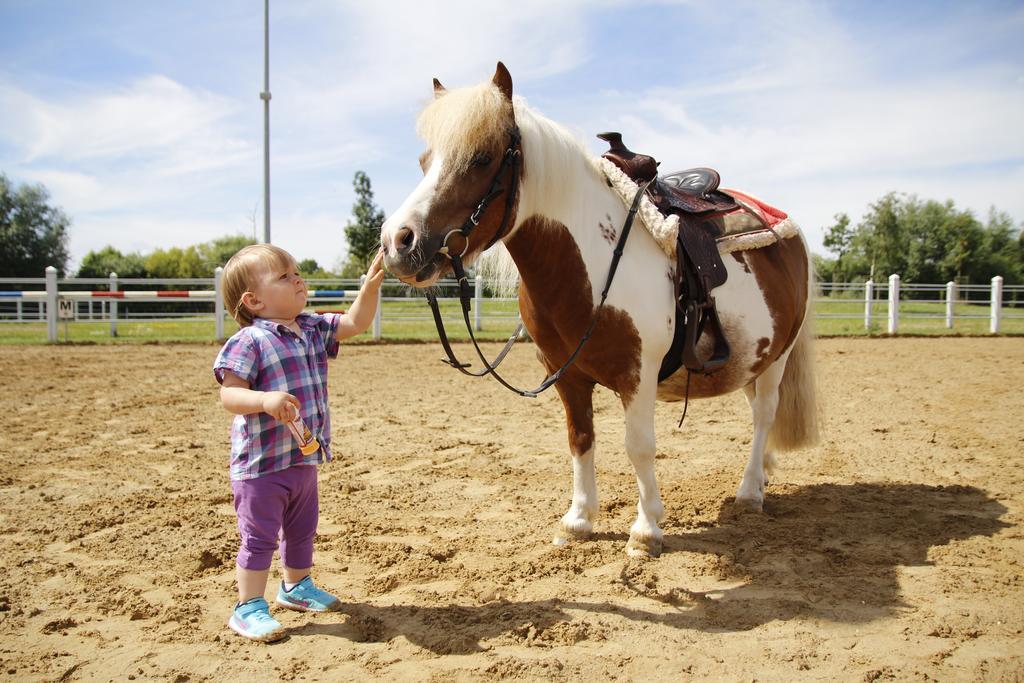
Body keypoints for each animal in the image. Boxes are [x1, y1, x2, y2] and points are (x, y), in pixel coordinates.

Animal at [380, 62, 819, 557]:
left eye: (481, 157)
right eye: (424, 161)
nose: (398, 242)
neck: (591, 262)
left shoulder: (638, 375)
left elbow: (639, 446)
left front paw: (646, 529)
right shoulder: (566, 375)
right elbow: (580, 439)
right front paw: (579, 519)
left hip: (779, 356)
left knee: (765, 413)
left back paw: (749, 493)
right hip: (750, 357)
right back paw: (761, 477)